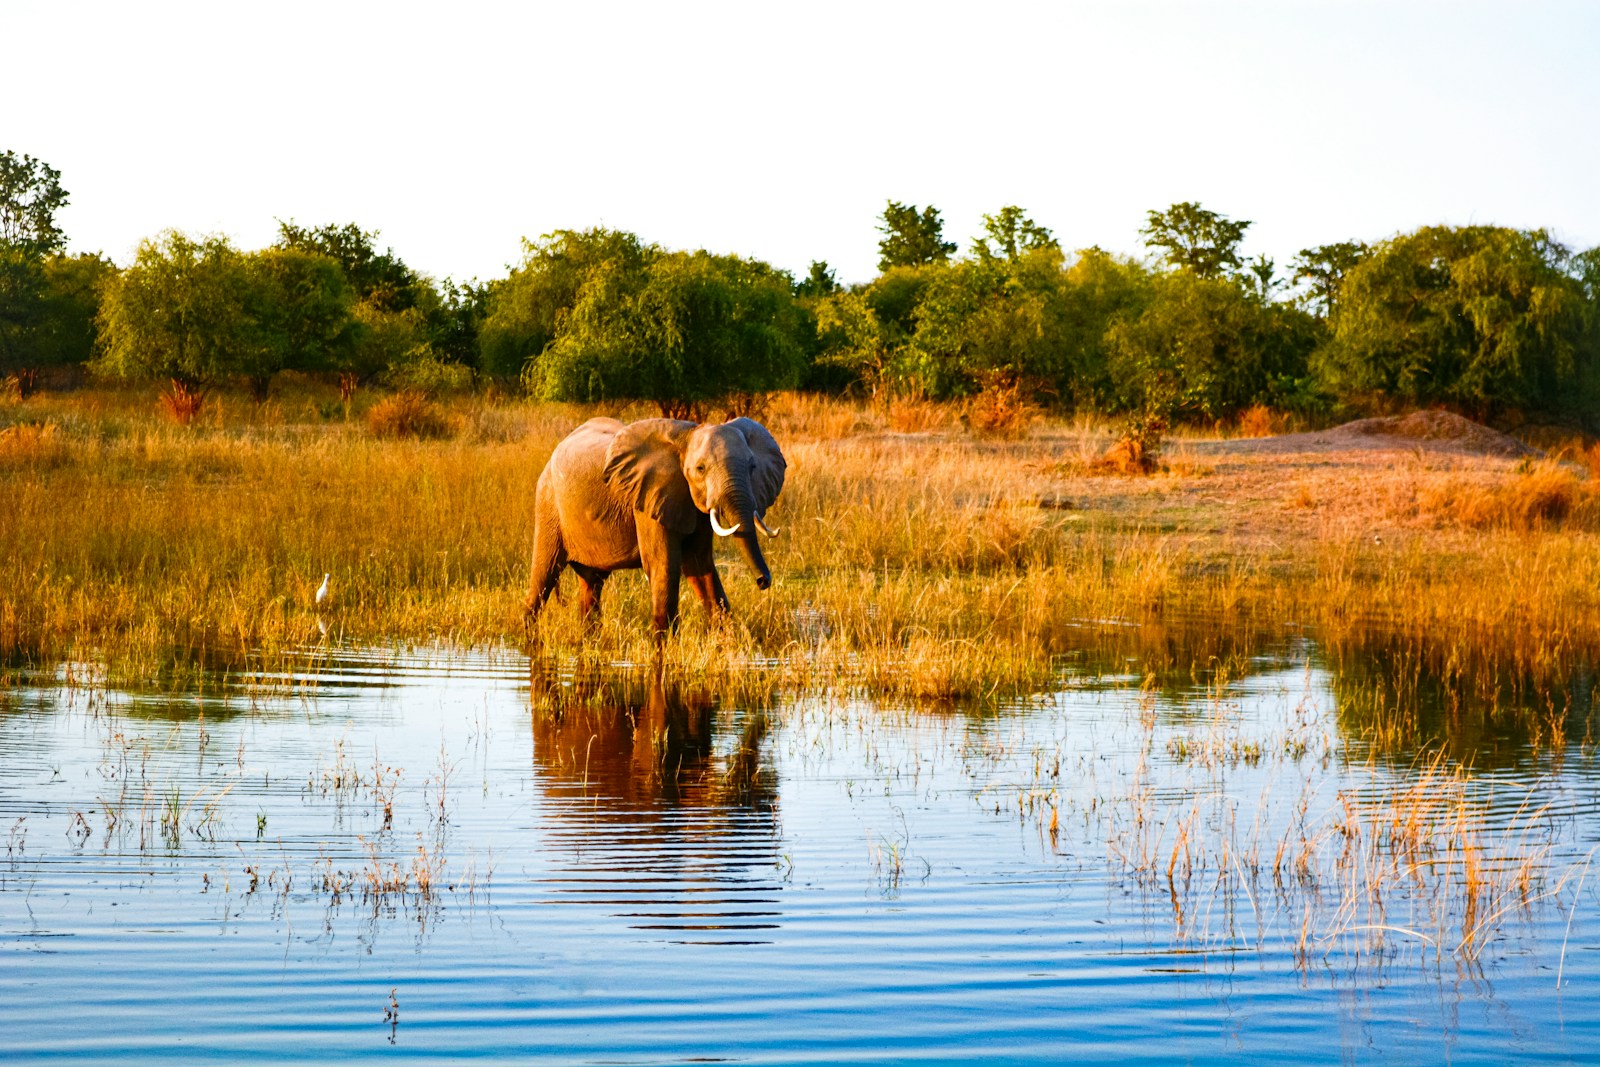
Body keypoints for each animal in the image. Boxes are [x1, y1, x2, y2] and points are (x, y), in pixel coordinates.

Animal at [524, 415, 787, 633]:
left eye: (753, 467)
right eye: (700, 469)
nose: (763, 581)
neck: (687, 435)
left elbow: (700, 566)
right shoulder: (648, 499)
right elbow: (664, 566)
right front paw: (664, 645)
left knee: (591, 585)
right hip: (548, 503)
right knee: (543, 578)